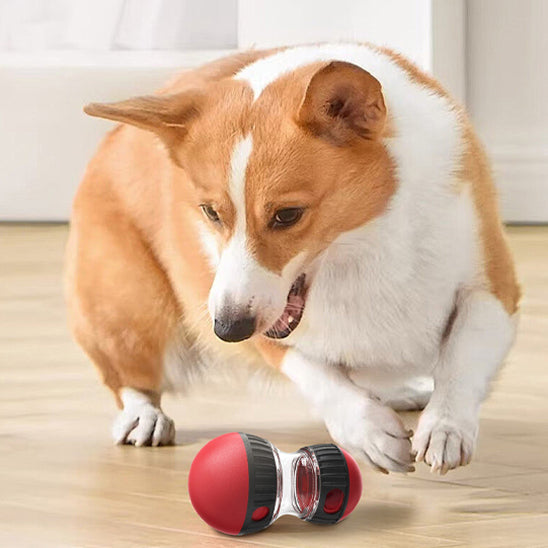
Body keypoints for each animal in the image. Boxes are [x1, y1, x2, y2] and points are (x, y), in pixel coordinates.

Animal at [65, 42, 520, 474]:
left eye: (287, 215)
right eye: (211, 212)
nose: (227, 330)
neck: (362, 241)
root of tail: (109, 142)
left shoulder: (494, 291)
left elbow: (462, 356)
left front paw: (445, 428)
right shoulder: (262, 329)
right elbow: (316, 374)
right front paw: (368, 432)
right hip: (133, 308)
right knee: (128, 377)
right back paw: (143, 417)